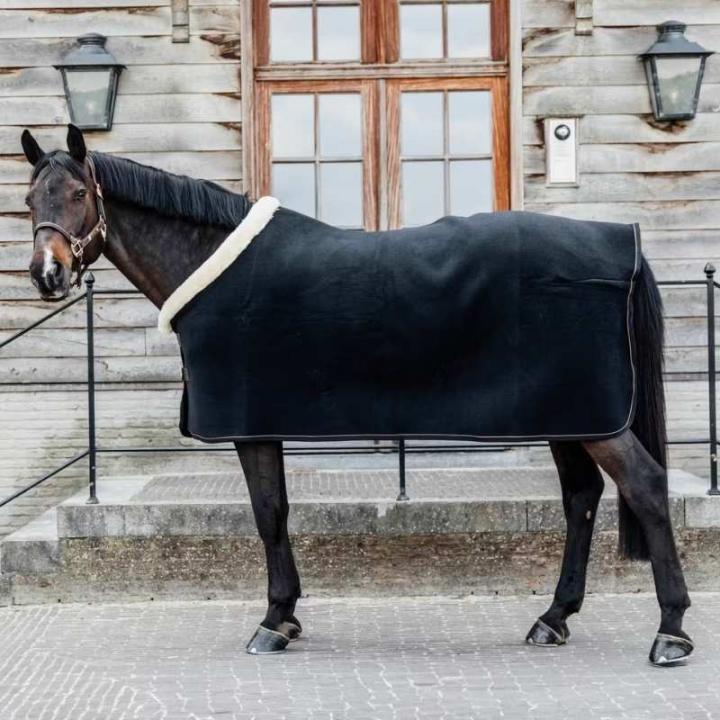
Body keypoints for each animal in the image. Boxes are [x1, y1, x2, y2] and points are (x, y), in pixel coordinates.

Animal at [20, 125, 693, 665]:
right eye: (29, 199)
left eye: (78, 195)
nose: (47, 275)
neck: (210, 263)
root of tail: (623, 242)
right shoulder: (263, 423)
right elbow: (277, 511)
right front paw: (287, 616)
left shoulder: (249, 423)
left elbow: (267, 515)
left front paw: (273, 622)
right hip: (568, 413)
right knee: (582, 496)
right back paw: (553, 619)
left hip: (593, 418)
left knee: (645, 486)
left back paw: (671, 633)